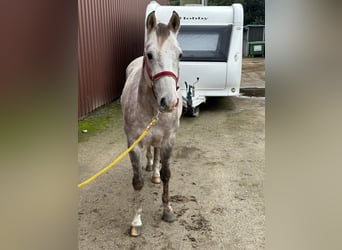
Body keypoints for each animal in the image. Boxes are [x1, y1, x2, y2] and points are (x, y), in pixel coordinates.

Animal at [121, 10, 183, 236]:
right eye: (149, 55)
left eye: (180, 55)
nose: (170, 102)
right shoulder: (133, 143)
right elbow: (137, 181)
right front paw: (136, 221)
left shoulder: (168, 140)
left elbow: (166, 174)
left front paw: (168, 211)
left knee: (155, 154)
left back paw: (154, 172)